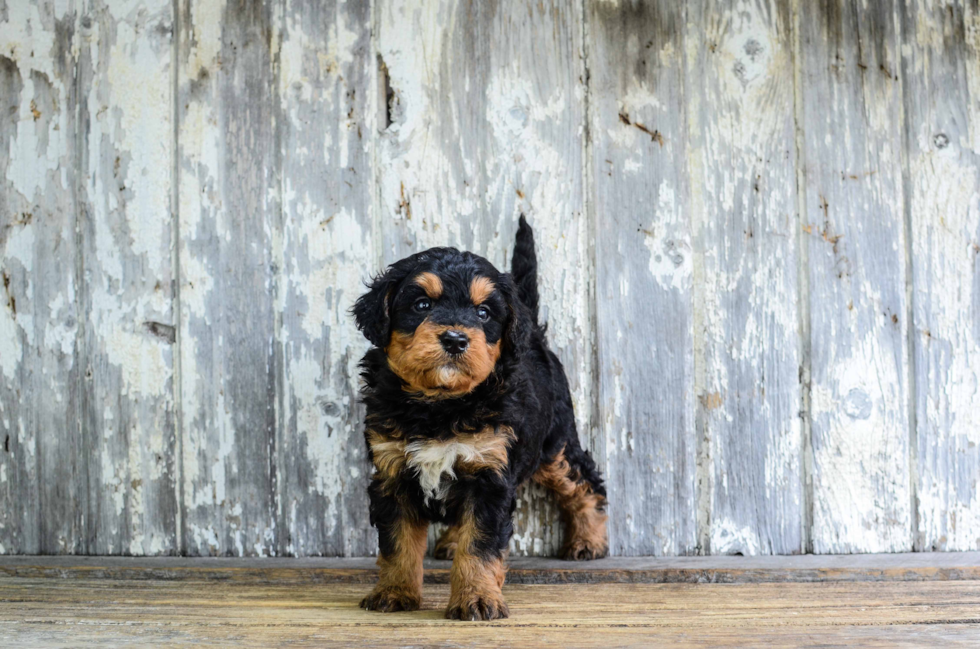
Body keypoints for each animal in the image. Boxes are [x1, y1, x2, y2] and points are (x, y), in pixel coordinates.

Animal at [356, 216, 608, 616]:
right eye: (421, 304)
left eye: (483, 313)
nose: (456, 339)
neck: (441, 404)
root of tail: (533, 332)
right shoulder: (392, 473)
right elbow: (398, 544)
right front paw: (394, 592)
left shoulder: (489, 474)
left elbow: (480, 544)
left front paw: (476, 598)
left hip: (555, 442)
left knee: (585, 482)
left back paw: (588, 541)